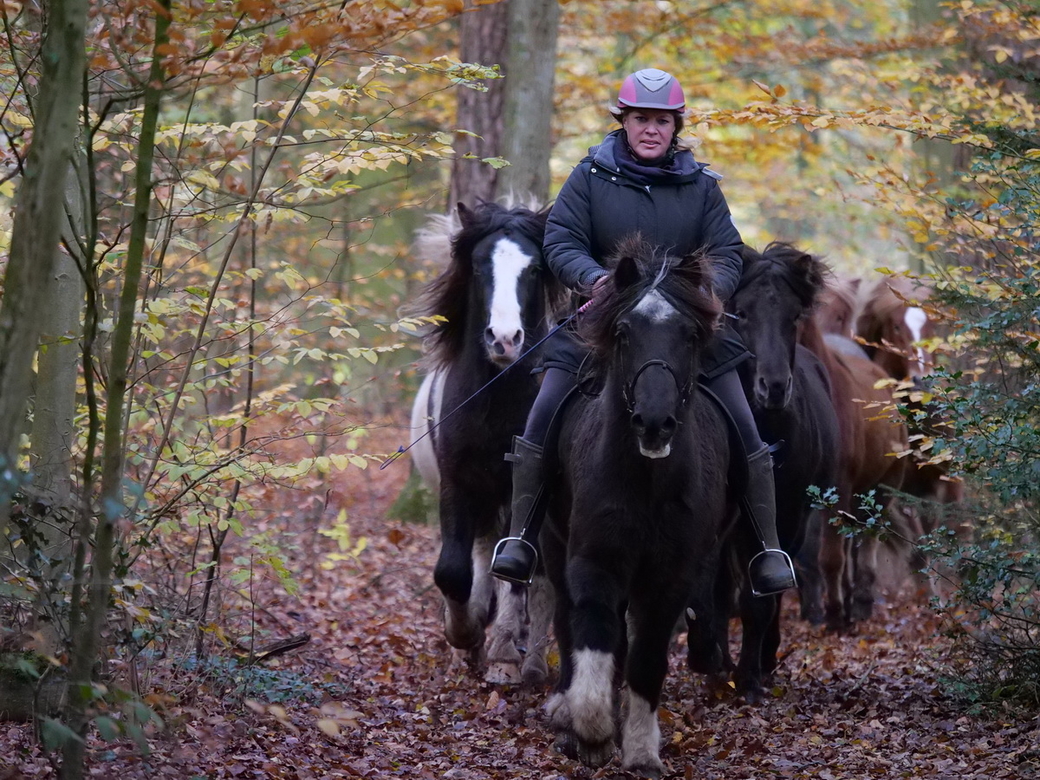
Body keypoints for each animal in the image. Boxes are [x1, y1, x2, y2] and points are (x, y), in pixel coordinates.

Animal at [407, 199, 569, 682]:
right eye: (479, 266)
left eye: (534, 269)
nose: (504, 339)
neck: (493, 401)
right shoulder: (457, 483)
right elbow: (452, 571)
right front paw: (464, 634)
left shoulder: (525, 489)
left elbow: (518, 571)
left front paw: (502, 653)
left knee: (540, 579)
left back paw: (524, 659)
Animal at [540, 237, 736, 777]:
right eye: (624, 333)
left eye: (689, 335)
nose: (654, 422)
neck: (648, 484)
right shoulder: (595, 563)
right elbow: (592, 636)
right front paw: (591, 732)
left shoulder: (671, 577)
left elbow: (646, 659)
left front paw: (643, 749)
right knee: (567, 618)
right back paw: (564, 704)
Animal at [732, 245, 844, 678]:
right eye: (740, 313)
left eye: (795, 315)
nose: (775, 387)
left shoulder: (791, 513)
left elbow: (767, 591)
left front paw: (755, 668)